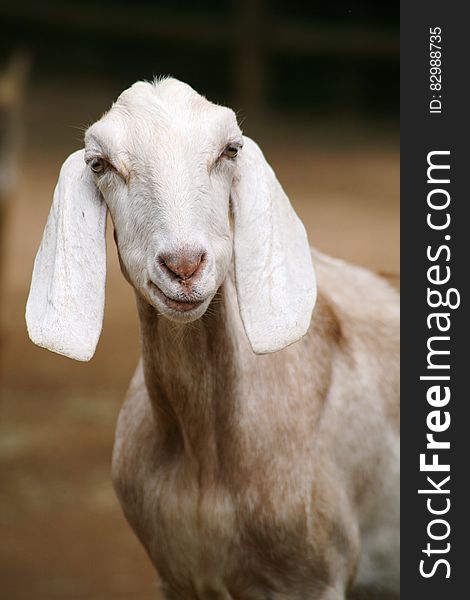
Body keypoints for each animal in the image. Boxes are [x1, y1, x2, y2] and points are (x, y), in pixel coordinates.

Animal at [26, 78, 400, 600]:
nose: (183, 266)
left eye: (230, 150)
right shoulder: (177, 577)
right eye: (99, 164)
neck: (206, 458)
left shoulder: (313, 577)